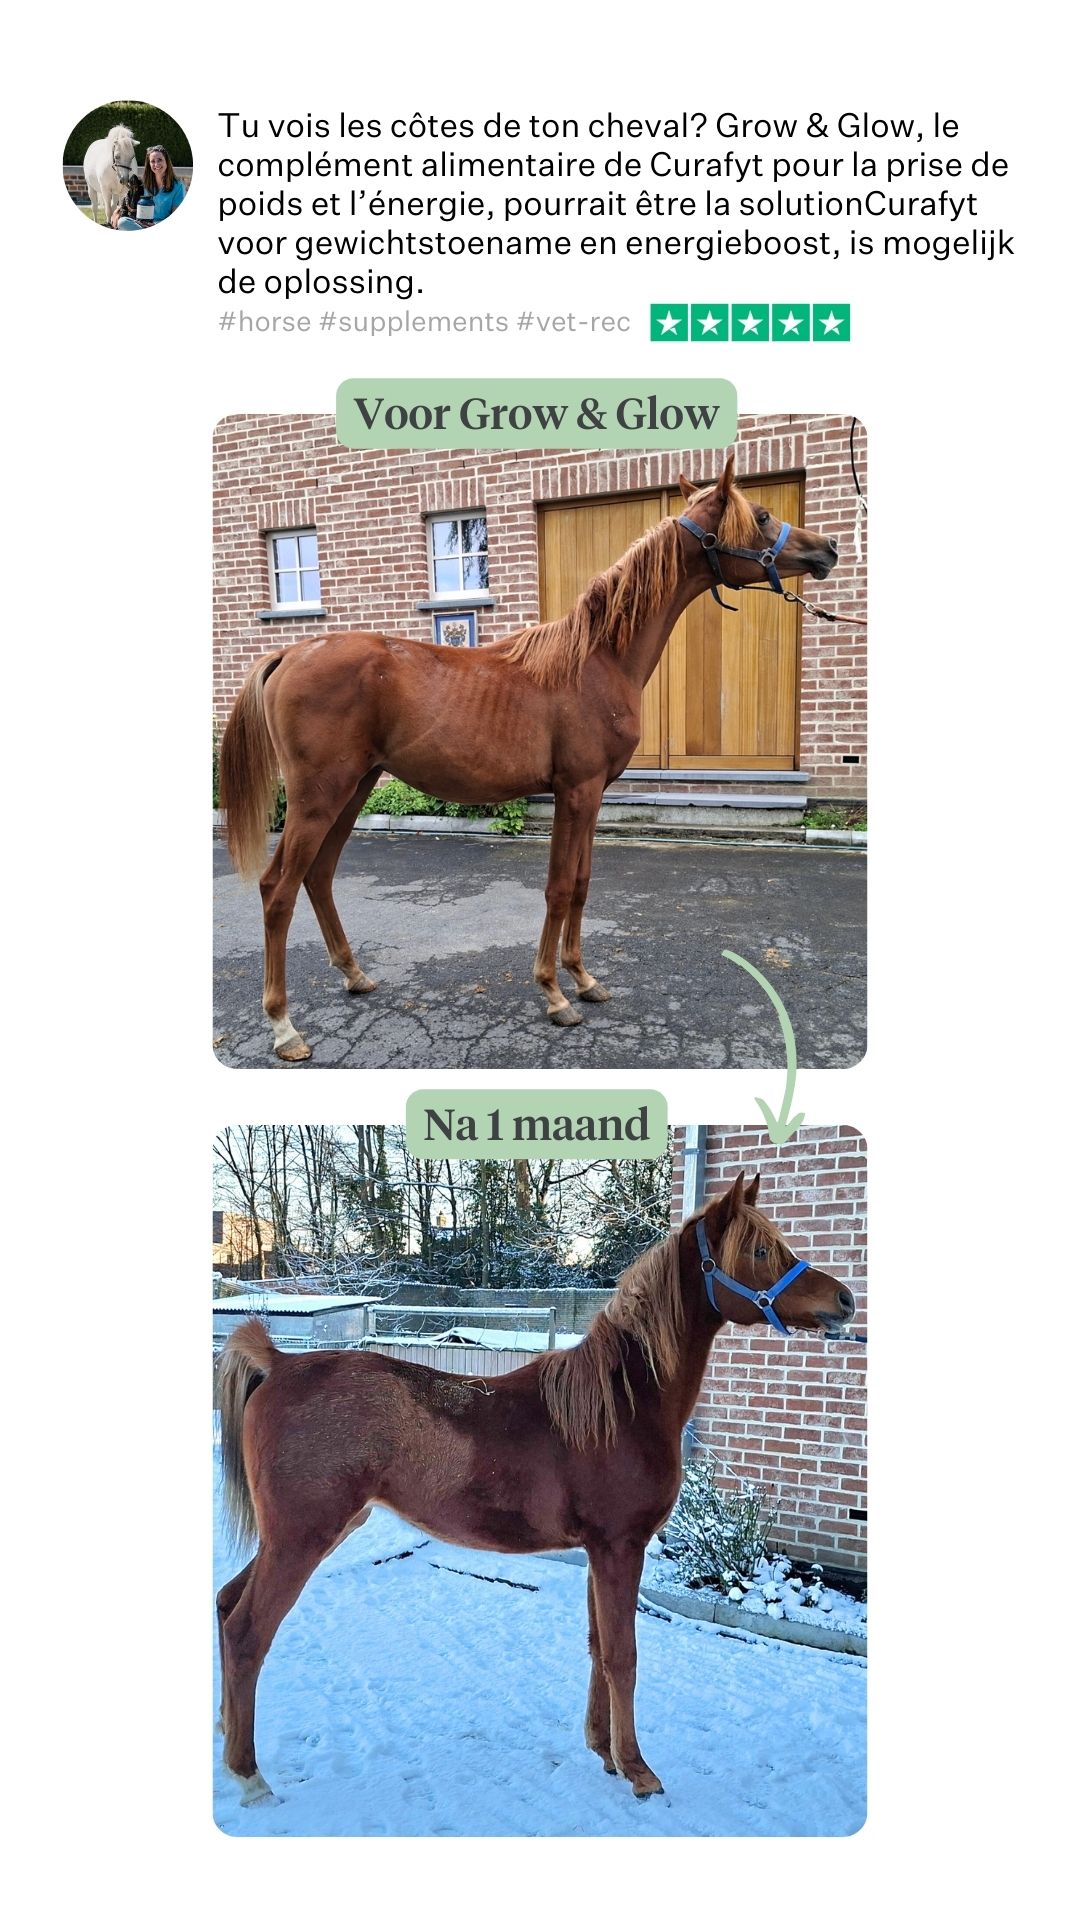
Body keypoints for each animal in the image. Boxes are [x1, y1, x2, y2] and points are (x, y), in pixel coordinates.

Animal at [215, 1172, 856, 1806]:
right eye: (760, 1251)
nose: (844, 1301)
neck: (621, 1406)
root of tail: (279, 1364)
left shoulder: (601, 1552)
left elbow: (598, 1647)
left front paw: (604, 1752)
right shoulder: (620, 1548)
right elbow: (623, 1656)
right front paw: (638, 1770)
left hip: (301, 1536)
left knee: (225, 1606)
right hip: (302, 1539)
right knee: (247, 1633)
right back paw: (251, 1778)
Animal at [218, 460, 839, 1061]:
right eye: (761, 515)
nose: (827, 548)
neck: (597, 660)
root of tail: (290, 651)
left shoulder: (594, 795)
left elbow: (582, 883)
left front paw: (584, 979)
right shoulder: (576, 790)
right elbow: (560, 887)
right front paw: (555, 993)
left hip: (355, 788)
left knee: (318, 876)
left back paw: (354, 975)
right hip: (318, 796)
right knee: (278, 889)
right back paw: (284, 1027)